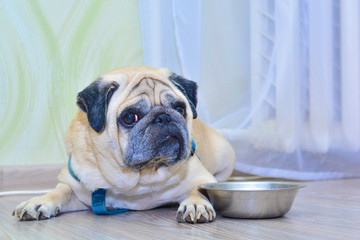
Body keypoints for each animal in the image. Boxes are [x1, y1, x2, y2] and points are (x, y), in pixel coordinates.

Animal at [12, 65, 236, 223]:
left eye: (180, 109)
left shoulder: (202, 177)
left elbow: (198, 189)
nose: (164, 117)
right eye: (130, 117)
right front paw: (38, 202)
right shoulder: (75, 186)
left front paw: (196, 204)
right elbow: (60, 191)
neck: (140, 178)